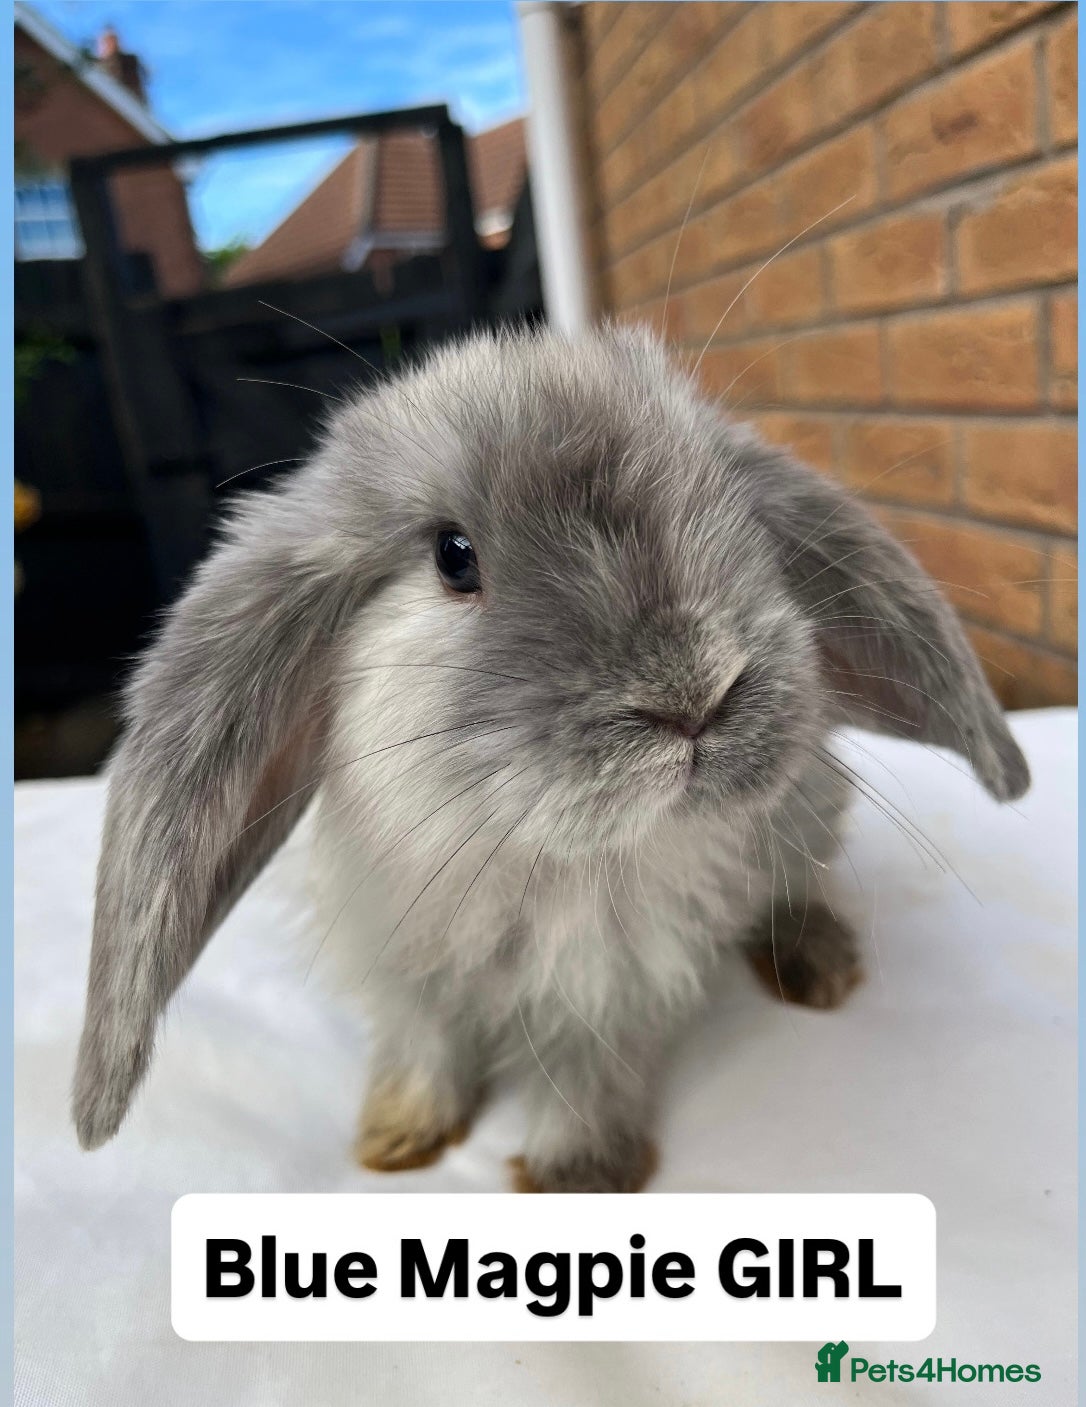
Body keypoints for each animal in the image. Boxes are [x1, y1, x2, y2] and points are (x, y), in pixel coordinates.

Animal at [72, 324, 1029, 1192]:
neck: (525, 859)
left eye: (733, 516)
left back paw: (819, 966)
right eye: (454, 556)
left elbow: (585, 1078)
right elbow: (423, 1049)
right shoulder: (403, 973)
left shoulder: (609, 991)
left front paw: (576, 1176)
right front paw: (398, 1136)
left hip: (804, 817)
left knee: (797, 889)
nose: (694, 691)